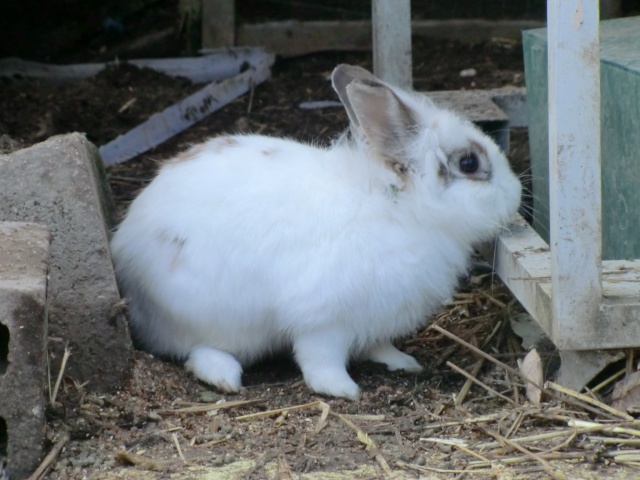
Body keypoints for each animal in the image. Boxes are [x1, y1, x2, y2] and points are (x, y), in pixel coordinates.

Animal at [109, 64, 520, 402]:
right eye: (470, 163)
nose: (517, 194)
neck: (402, 208)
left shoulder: (375, 319)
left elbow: (379, 346)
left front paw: (403, 362)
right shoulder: (323, 319)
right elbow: (320, 360)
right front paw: (343, 389)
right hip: (210, 317)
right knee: (198, 351)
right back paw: (225, 376)